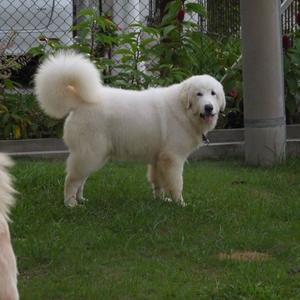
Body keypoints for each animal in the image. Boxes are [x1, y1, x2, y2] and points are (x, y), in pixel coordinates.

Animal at [34, 51, 225, 209]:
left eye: (213, 93)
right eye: (199, 94)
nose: (209, 108)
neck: (183, 110)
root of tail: (80, 101)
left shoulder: (158, 159)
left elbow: (158, 183)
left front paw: (161, 200)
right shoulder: (173, 158)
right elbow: (177, 184)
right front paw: (180, 204)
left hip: (92, 155)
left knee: (81, 180)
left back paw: (81, 200)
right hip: (90, 154)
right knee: (72, 180)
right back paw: (71, 204)